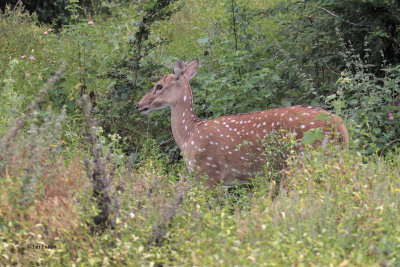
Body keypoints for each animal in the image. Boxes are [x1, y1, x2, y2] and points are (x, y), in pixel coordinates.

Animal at [136, 60, 348, 187]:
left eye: (159, 86)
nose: (139, 105)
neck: (189, 135)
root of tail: (339, 125)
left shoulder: (208, 172)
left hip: (304, 158)